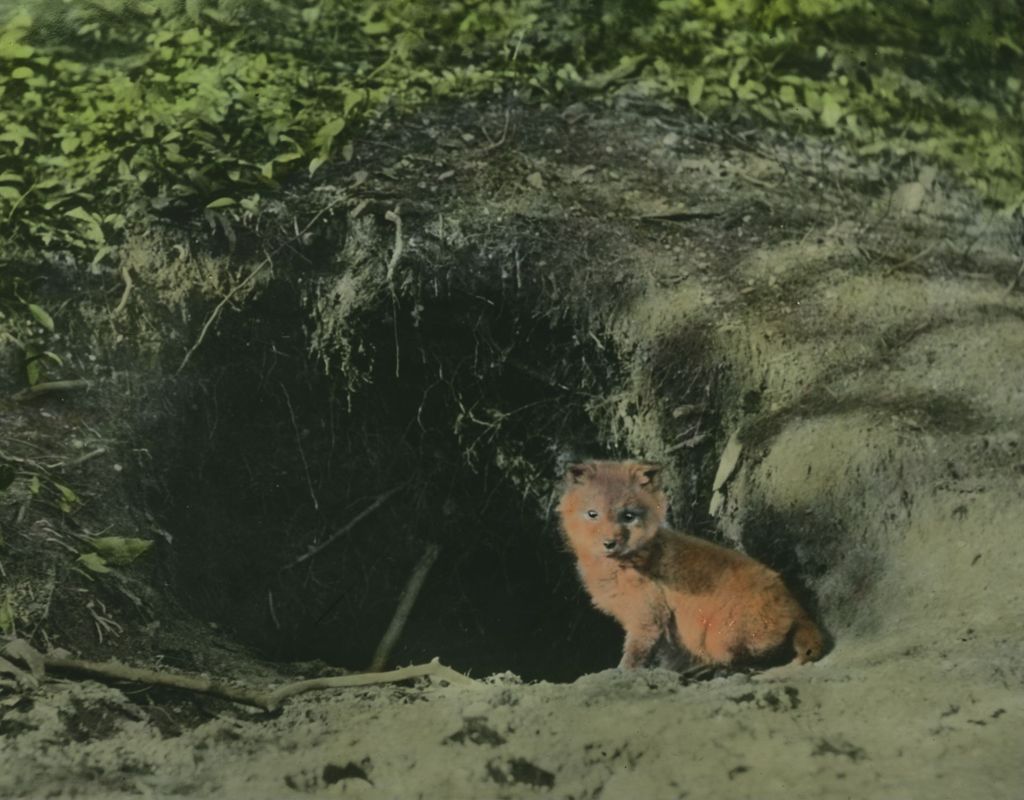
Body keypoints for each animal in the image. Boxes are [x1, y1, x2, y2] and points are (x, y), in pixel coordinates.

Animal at [561, 458, 823, 663]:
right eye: (592, 514)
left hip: (718, 638)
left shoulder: (648, 618)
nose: (609, 543)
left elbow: (633, 659)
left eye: (628, 516)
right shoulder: (662, 631)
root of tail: (796, 607)